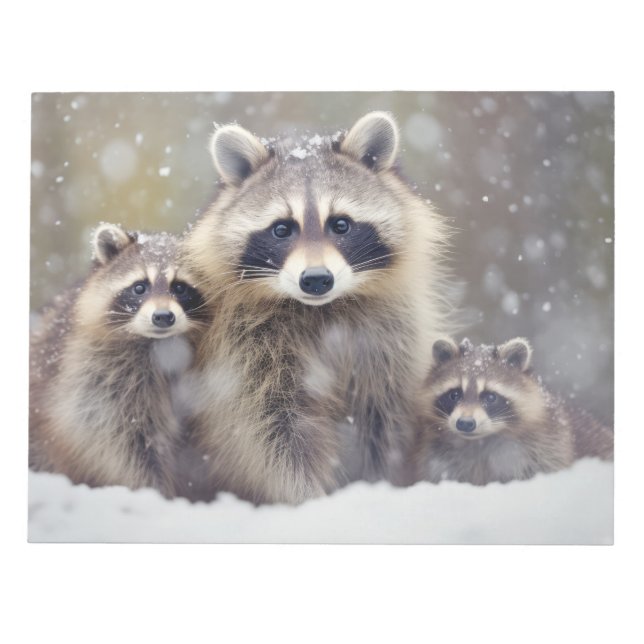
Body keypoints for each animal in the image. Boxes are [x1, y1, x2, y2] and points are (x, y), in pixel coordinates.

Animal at [29, 224, 207, 497]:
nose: (163, 317)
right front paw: (152, 489)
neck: (160, 344)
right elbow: (115, 441)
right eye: (139, 287)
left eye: (180, 287)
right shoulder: (93, 373)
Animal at [182, 111, 451, 504]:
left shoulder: (391, 338)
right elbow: (270, 432)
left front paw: (380, 484)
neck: (324, 308)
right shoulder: (247, 348)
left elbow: (386, 420)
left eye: (340, 224)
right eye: (282, 229)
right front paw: (304, 496)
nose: (316, 279)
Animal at [415, 337, 613, 486]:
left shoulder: (548, 445)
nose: (465, 423)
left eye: (490, 397)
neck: (480, 441)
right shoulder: (442, 456)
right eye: (454, 394)